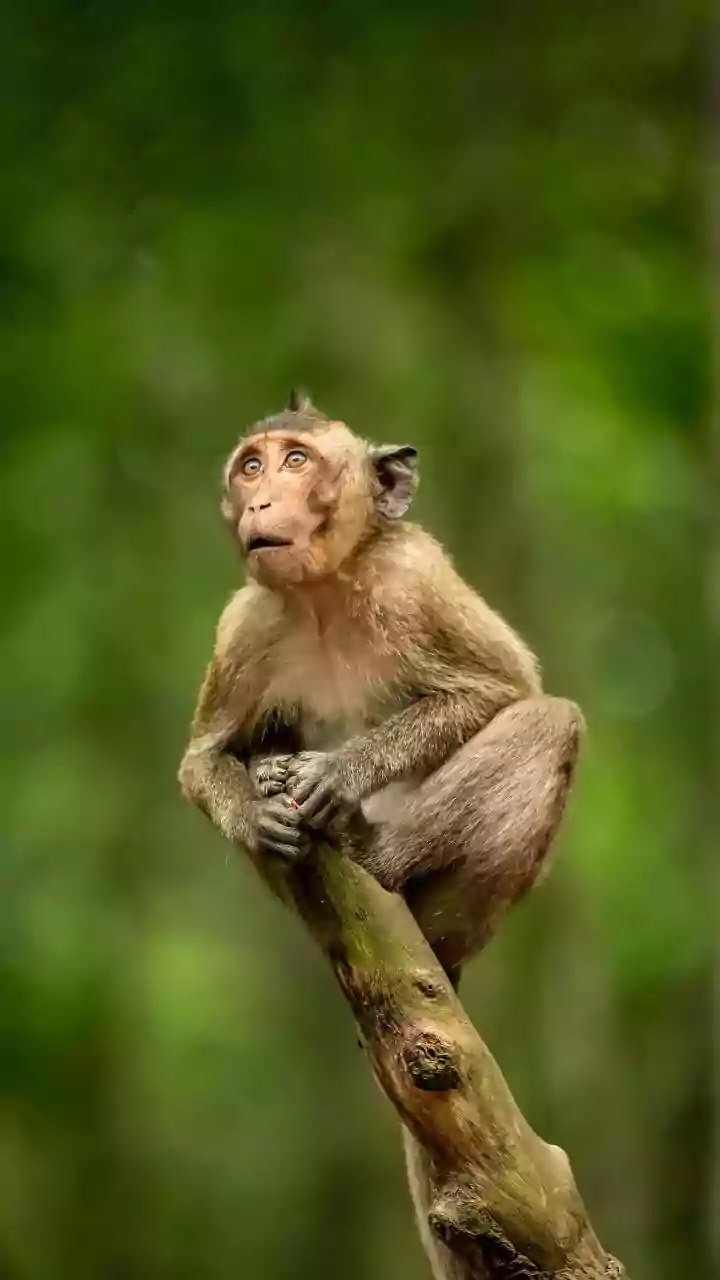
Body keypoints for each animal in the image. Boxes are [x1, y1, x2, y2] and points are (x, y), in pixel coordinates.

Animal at [179, 390, 583, 983]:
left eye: (295, 461)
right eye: (251, 468)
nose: (259, 505)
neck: (323, 594)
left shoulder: (414, 578)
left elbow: (502, 688)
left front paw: (340, 772)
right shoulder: (244, 627)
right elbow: (203, 758)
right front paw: (255, 811)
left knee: (552, 723)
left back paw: (370, 847)